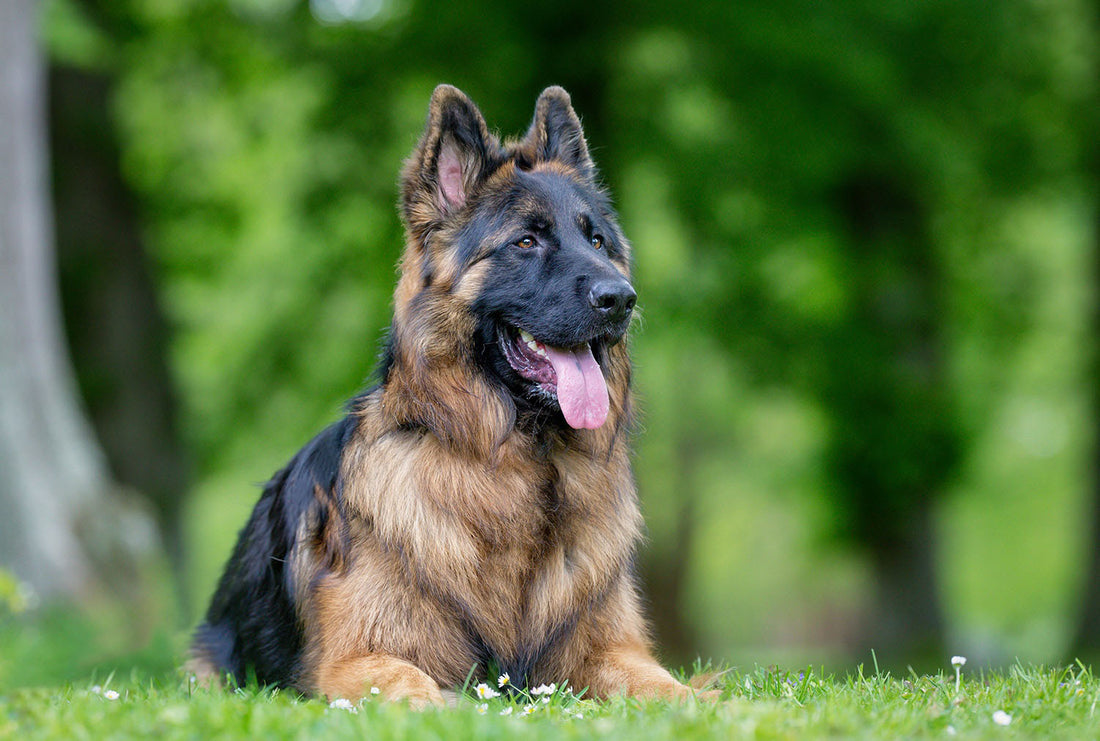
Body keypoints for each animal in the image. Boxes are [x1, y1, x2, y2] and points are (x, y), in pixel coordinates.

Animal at [188, 83, 695, 708]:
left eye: (597, 240)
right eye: (526, 241)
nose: (621, 298)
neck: (516, 465)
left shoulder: (612, 649)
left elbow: (671, 687)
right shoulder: (355, 661)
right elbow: (416, 687)